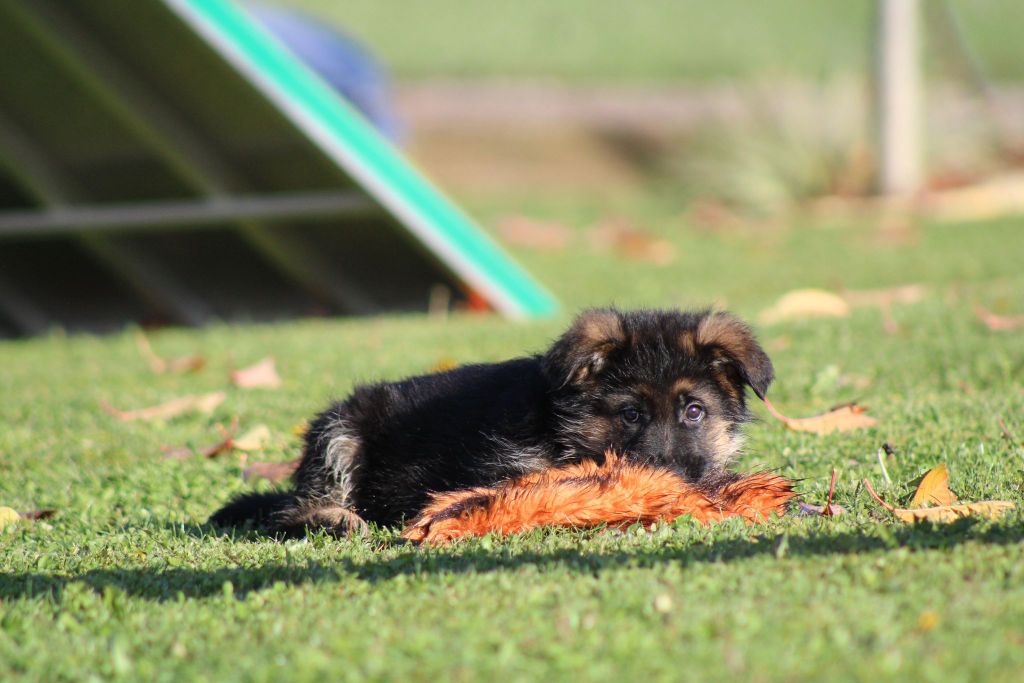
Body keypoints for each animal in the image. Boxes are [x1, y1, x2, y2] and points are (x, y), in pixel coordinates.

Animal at [211, 307, 770, 536]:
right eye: (630, 413)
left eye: (693, 411)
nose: (674, 479)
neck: (561, 427)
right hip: (341, 433)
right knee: (289, 513)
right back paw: (336, 519)